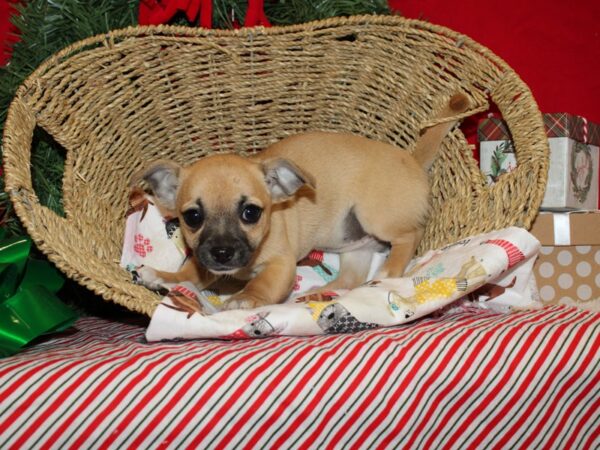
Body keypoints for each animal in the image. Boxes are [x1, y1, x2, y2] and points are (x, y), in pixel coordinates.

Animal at [134, 94, 472, 310]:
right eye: (192, 217)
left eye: (250, 212)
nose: (222, 252)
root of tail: (411, 160)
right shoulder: (206, 264)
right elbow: (191, 273)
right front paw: (165, 277)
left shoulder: (281, 266)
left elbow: (262, 285)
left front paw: (243, 298)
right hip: (355, 246)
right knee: (350, 279)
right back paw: (317, 294)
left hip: (376, 217)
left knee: (409, 236)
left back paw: (389, 271)